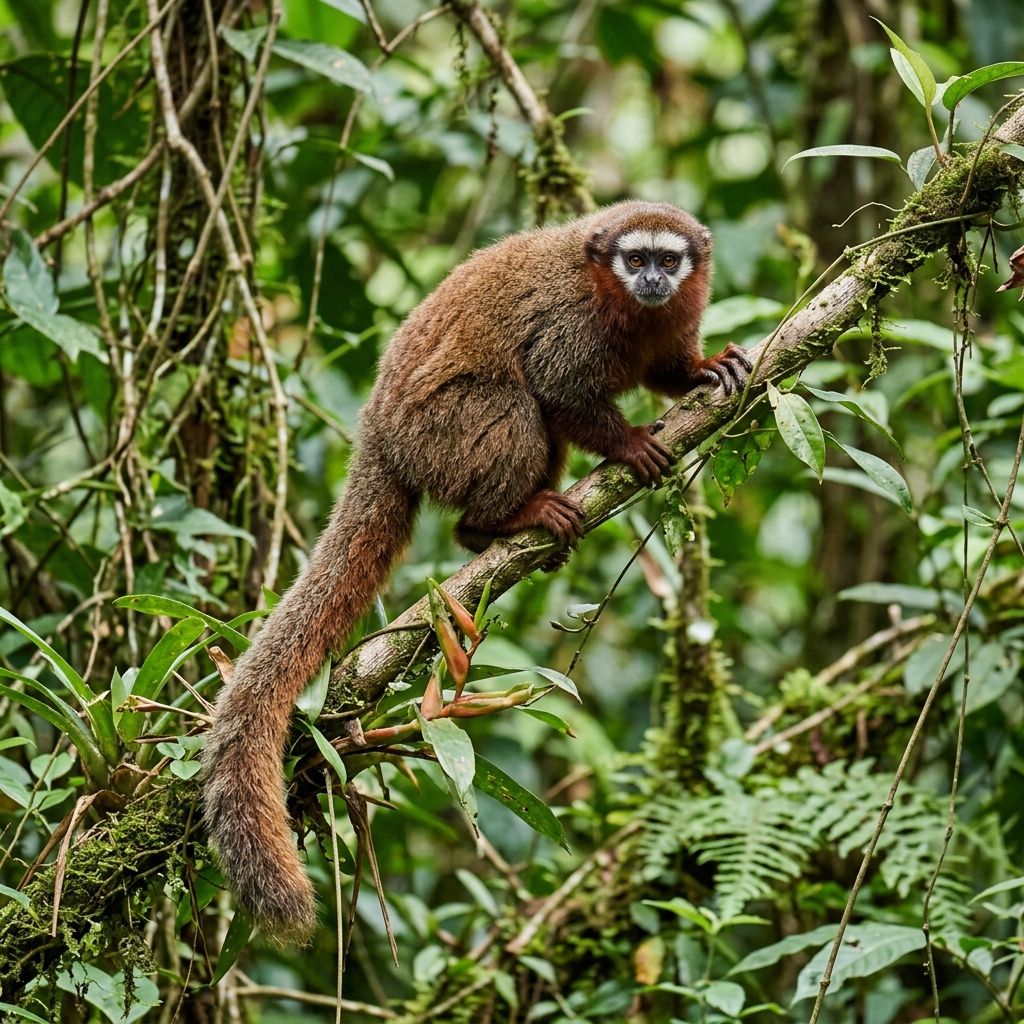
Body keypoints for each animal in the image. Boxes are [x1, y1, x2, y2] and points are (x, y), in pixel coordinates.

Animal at [203, 200, 752, 940]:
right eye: (634, 260)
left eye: (670, 260)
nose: (653, 282)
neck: (623, 305)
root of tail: (377, 432)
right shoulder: (572, 322)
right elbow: (557, 386)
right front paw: (631, 444)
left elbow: (665, 366)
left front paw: (702, 371)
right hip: (437, 435)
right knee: (518, 406)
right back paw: (495, 524)